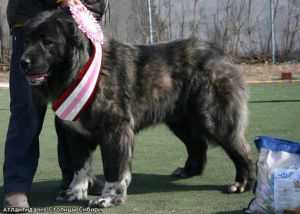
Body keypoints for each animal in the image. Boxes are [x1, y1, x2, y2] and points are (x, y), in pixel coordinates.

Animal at [19, 2, 254, 209]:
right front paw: (75, 192)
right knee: (197, 145)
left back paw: (242, 183)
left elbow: (114, 167)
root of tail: (221, 54)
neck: (79, 69)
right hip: (181, 122)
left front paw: (108, 198)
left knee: (241, 150)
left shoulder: (115, 130)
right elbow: (80, 166)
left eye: (47, 42)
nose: (23, 62)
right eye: (27, 40)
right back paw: (189, 171)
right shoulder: (76, 134)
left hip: (215, 120)